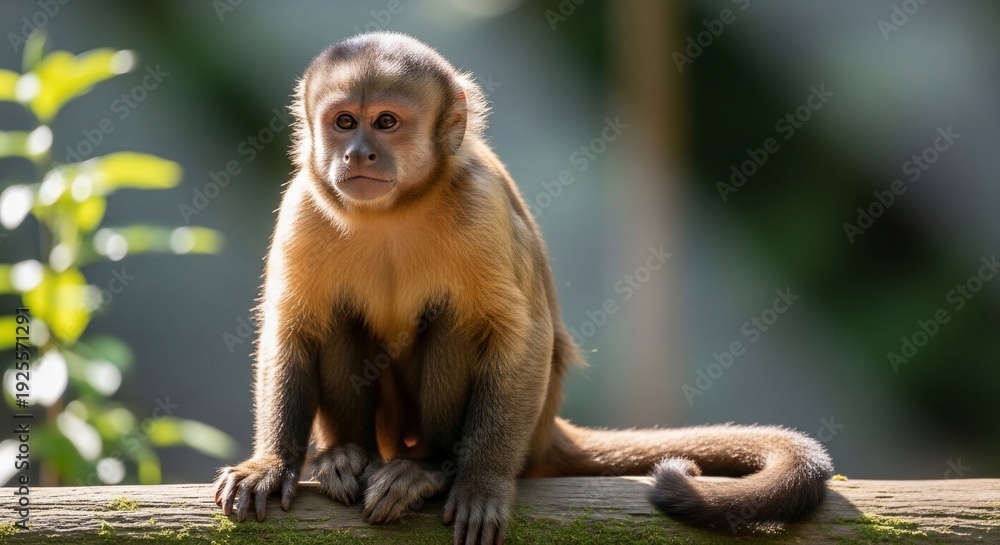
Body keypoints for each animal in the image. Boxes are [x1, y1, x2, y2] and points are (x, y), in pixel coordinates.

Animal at [213, 32, 833, 544]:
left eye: (385, 123)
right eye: (344, 122)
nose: (357, 153)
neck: (395, 212)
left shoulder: (480, 204)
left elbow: (520, 336)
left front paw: (483, 481)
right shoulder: (303, 205)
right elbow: (291, 327)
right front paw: (272, 464)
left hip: (523, 428)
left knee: (460, 322)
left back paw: (430, 468)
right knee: (343, 317)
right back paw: (346, 453)